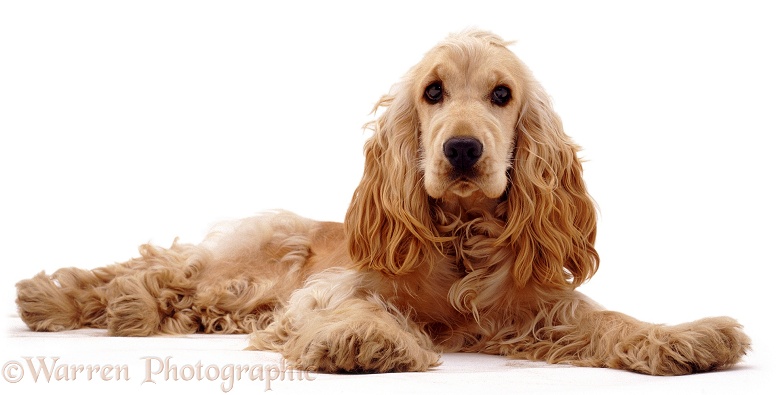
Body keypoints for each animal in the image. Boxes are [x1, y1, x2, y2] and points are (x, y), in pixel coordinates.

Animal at [15, 29, 748, 376]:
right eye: (432, 92)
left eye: (502, 95)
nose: (462, 150)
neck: (461, 238)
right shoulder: (329, 289)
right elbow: (359, 307)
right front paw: (366, 339)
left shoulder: (534, 308)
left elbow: (611, 318)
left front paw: (685, 338)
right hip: (237, 264)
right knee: (152, 265)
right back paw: (67, 299)